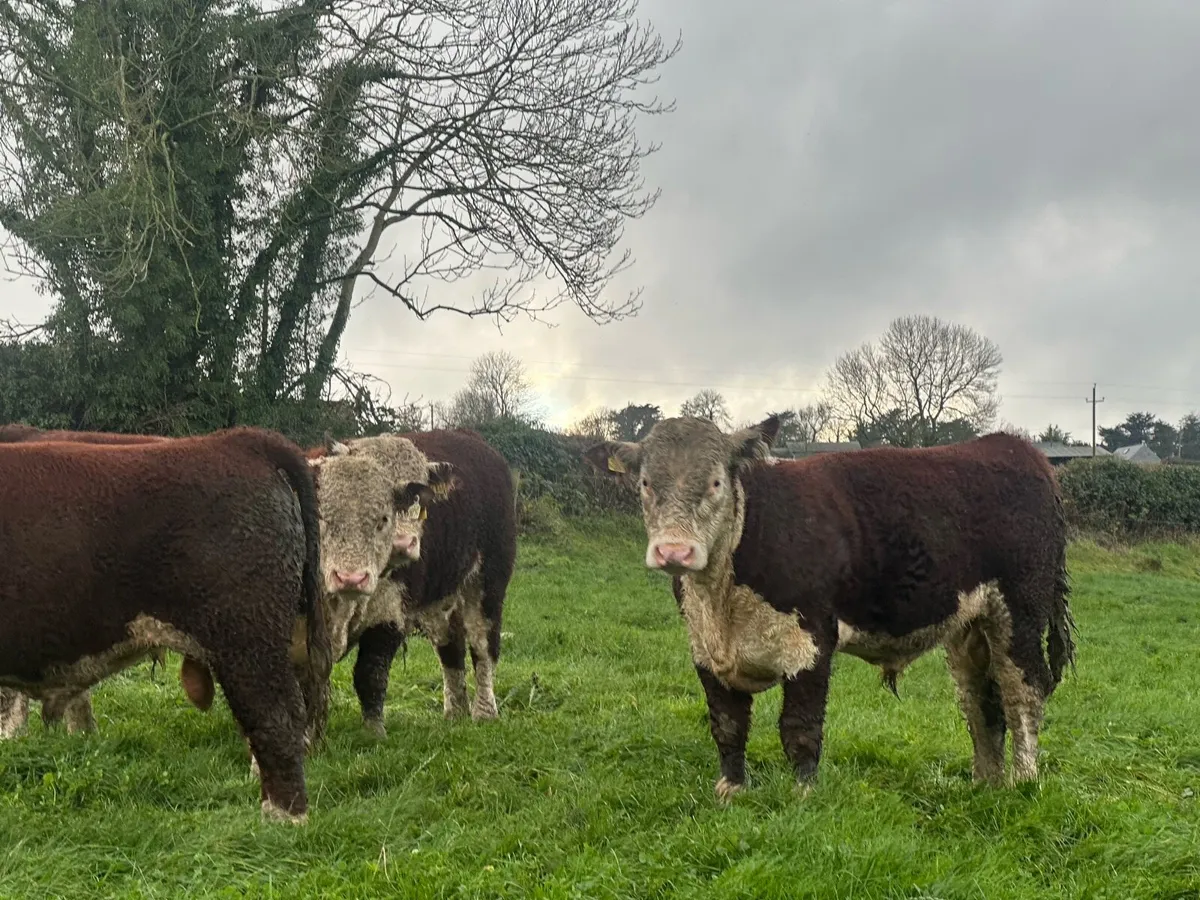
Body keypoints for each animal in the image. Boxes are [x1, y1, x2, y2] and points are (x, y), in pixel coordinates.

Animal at [311, 429, 517, 730]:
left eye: (417, 497)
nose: (402, 543)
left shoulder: (391, 612)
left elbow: (370, 675)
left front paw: (372, 731)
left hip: (488, 581)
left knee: (483, 646)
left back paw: (484, 713)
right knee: (450, 646)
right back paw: (456, 712)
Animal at [584, 416, 1075, 801]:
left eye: (716, 483)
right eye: (646, 484)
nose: (674, 551)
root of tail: (1015, 447)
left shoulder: (811, 642)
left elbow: (799, 728)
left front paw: (804, 794)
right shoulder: (706, 651)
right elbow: (727, 724)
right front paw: (731, 791)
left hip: (1020, 610)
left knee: (1022, 690)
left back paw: (1023, 781)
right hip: (968, 626)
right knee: (979, 700)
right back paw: (986, 784)